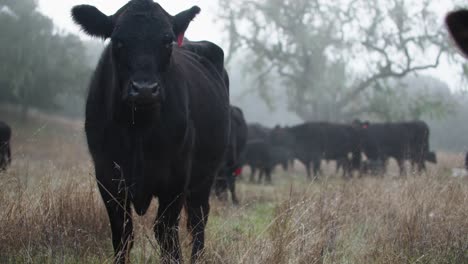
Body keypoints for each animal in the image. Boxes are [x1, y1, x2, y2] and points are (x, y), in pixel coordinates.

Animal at [72, 1, 230, 262]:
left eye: (167, 41)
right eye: (118, 40)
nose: (144, 89)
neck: (139, 128)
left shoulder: (175, 179)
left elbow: (166, 234)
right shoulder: (107, 176)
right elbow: (122, 234)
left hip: (205, 177)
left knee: (198, 221)